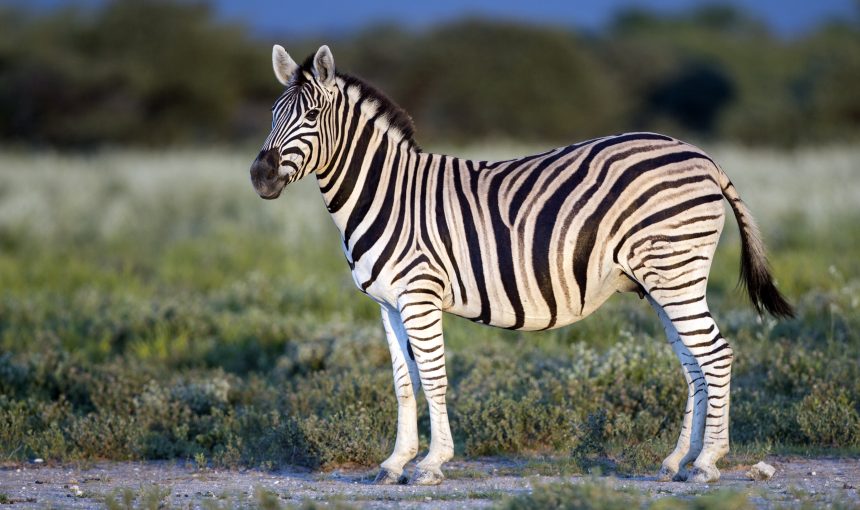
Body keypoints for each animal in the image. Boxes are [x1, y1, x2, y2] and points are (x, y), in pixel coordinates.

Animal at [249, 44, 794, 486]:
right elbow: (404, 384)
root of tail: (702, 156)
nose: (260, 175)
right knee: (695, 365)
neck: (387, 193)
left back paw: (707, 464)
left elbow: (434, 377)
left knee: (716, 355)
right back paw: (678, 460)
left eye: (312, 115)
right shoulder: (387, 303)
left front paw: (430, 464)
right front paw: (394, 463)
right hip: (663, 281)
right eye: (272, 114)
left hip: (675, 272)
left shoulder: (420, 295)